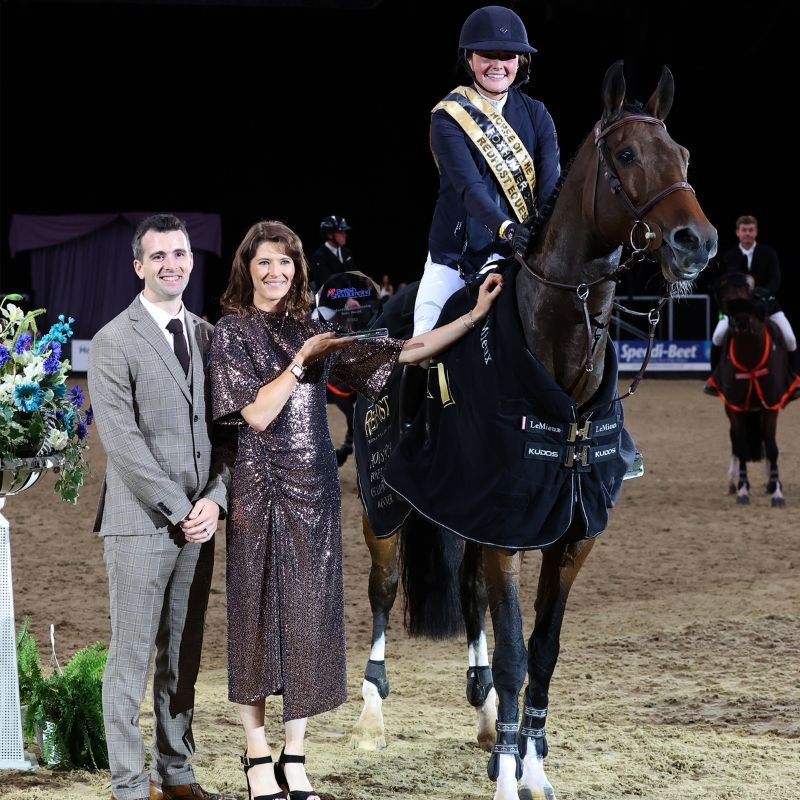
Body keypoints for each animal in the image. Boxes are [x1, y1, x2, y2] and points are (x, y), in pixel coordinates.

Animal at [354, 62, 716, 800]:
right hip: (385, 499)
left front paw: (531, 764)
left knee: (467, 596)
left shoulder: (570, 530)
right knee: (384, 586)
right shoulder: (509, 526)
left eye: (684, 155)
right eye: (627, 155)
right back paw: (372, 711)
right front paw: (508, 776)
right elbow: (517, 653)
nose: (697, 242)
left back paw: (486, 714)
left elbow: (542, 652)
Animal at [704, 272, 796, 504]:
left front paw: (777, 492)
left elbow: (772, 448)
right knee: (736, 443)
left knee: (766, 440)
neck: (750, 358)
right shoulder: (735, 407)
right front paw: (743, 490)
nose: (742, 321)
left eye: (750, 291)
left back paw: (771, 482)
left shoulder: (770, 406)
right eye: (724, 292)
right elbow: (742, 447)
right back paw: (732, 482)